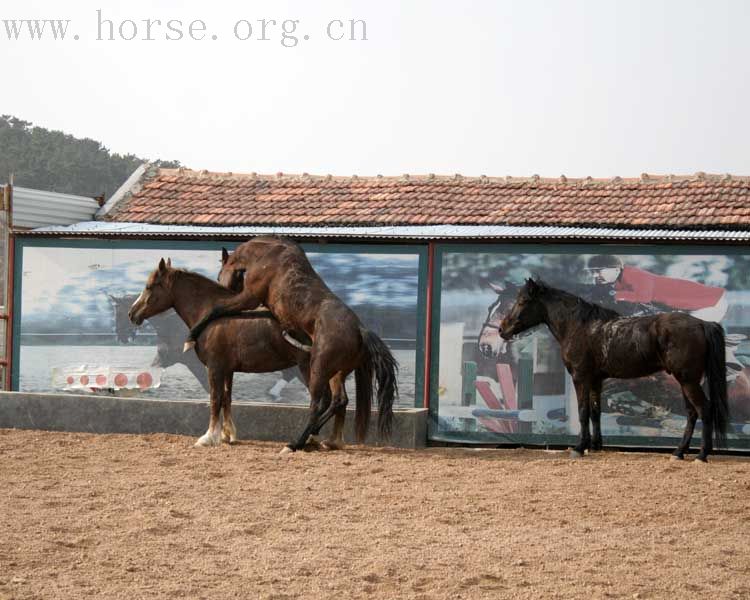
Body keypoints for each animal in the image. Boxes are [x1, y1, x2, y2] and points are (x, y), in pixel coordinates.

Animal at [129, 258, 318, 446]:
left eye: (149, 286)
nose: (132, 313)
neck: (212, 315)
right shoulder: (227, 370)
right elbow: (226, 399)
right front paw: (227, 435)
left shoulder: (215, 368)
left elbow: (215, 399)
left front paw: (209, 437)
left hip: (306, 369)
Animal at [186, 237, 402, 452]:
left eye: (219, 274)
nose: (220, 286)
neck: (265, 256)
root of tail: (360, 330)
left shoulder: (249, 297)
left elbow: (215, 309)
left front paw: (190, 338)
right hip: (335, 372)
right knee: (338, 401)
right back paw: (315, 437)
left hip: (318, 369)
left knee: (320, 403)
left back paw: (296, 443)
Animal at [496, 278, 732, 462]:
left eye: (522, 301)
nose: (501, 329)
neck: (580, 326)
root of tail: (702, 324)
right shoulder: (596, 380)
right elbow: (595, 411)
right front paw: (595, 445)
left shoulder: (580, 377)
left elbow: (583, 411)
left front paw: (579, 448)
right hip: (685, 381)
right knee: (692, 413)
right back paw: (679, 452)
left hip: (688, 381)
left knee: (704, 410)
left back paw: (701, 455)